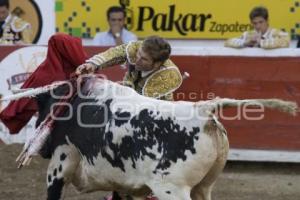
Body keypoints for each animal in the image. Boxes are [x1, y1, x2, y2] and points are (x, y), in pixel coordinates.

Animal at [23, 77, 298, 200]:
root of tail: (203, 109)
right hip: (203, 187)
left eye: (39, 111)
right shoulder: (123, 184)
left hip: (171, 189)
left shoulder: (59, 165)